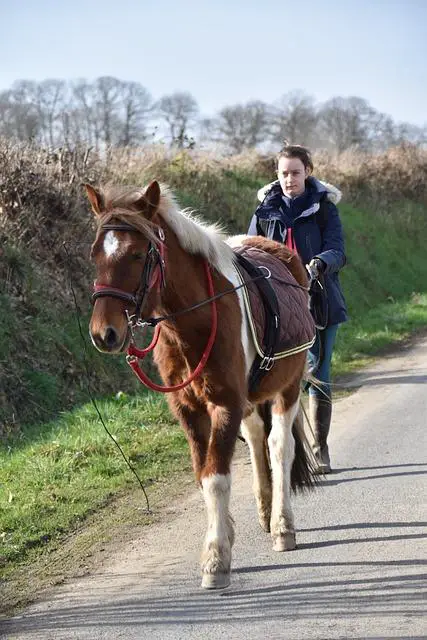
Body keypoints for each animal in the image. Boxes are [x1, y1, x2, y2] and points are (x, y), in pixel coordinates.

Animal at [84, 179, 318, 592]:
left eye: (138, 254)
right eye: (96, 253)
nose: (104, 333)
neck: (195, 319)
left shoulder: (225, 403)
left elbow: (217, 477)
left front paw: (216, 557)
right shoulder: (189, 409)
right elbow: (202, 473)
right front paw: (223, 535)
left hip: (287, 386)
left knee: (279, 446)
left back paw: (282, 525)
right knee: (256, 437)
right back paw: (265, 510)